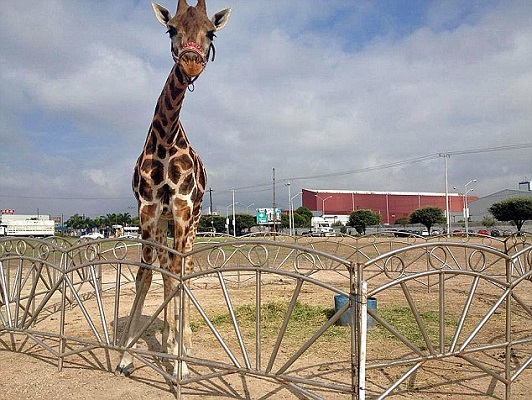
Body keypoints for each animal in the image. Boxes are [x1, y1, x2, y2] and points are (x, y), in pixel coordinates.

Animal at [114, 0, 231, 380]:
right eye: (171, 29)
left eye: (211, 32)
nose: (191, 62)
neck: (165, 140)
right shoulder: (149, 210)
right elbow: (146, 275)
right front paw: (127, 356)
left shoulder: (181, 208)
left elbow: (179, 276)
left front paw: (180, 363)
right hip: (166, 224)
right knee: (168, 272)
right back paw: (167, 342)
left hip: (193, 222)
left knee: (187, 270)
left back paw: (185, 344)